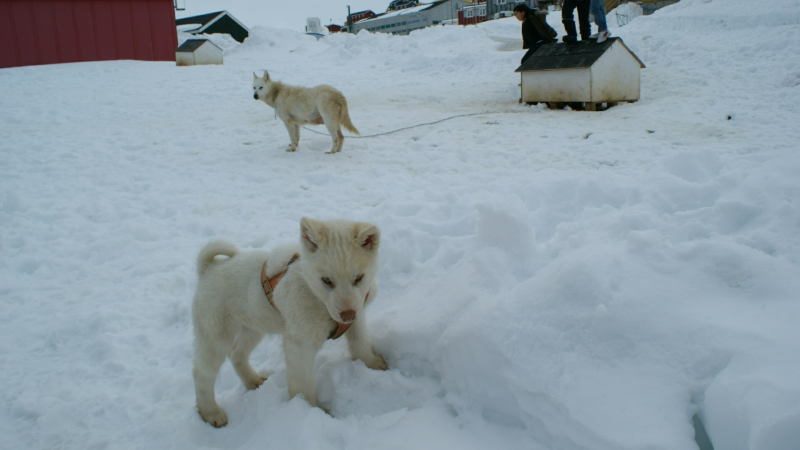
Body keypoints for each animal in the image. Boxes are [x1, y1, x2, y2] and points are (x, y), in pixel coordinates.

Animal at [191, 217, 384, 426]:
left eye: (359, 278)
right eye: (326, 280)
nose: (347, 315)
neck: (317, 297)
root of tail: (208, 269)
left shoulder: (358, 316)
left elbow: (360, 342)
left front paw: (373, 363)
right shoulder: (300, 343)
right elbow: (302, 383)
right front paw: (310, 410)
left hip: (253, 328)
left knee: (237, 355)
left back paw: (252, 380)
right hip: (215, 338)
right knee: (202, 373)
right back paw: (211, 413)